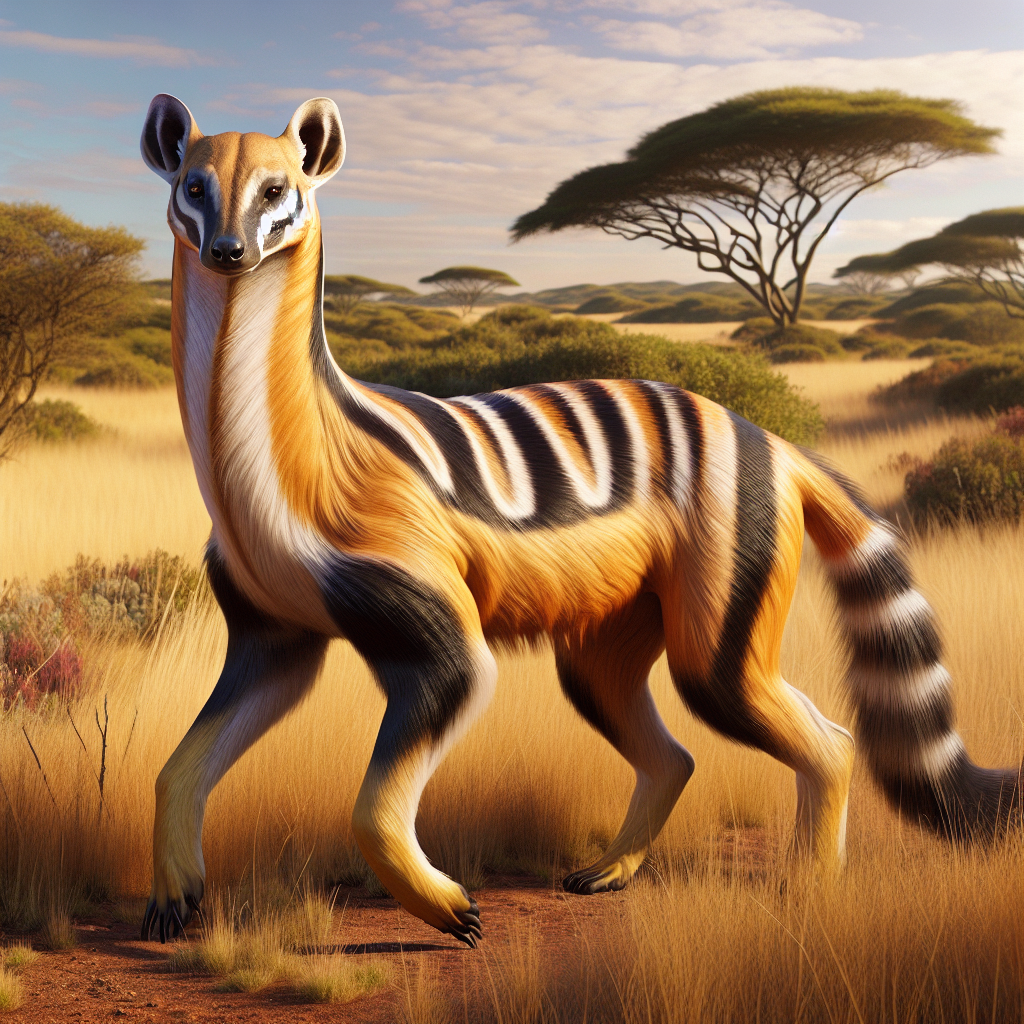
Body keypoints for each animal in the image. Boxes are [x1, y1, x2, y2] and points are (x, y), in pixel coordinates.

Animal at [139, 93, 1021, 945]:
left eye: (276, 190)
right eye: (195, 186)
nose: (228, 252)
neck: (293, 458)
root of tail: (766, 436)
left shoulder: (438, 642)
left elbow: (373, 806)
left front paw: (445, 907)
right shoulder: (277, 638)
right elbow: (178, 767)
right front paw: (174, 895)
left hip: (718, 625)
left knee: (816, 735)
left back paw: (809, 887)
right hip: (609, 637)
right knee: (668, 753)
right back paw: (615, 869)